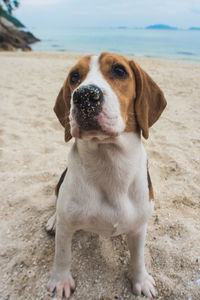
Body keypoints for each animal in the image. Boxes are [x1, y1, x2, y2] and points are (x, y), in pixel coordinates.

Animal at [46, 52, 166, 298]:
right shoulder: (67, 226)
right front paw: (61, 281)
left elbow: (138, 258)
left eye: (120, 70)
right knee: (56, 204)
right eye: (74, 76)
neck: (109, 163)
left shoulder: (139, 227)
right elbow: (62, 255)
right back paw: (53, 220)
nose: (84, 95)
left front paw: (140, 280)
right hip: (59, 188)